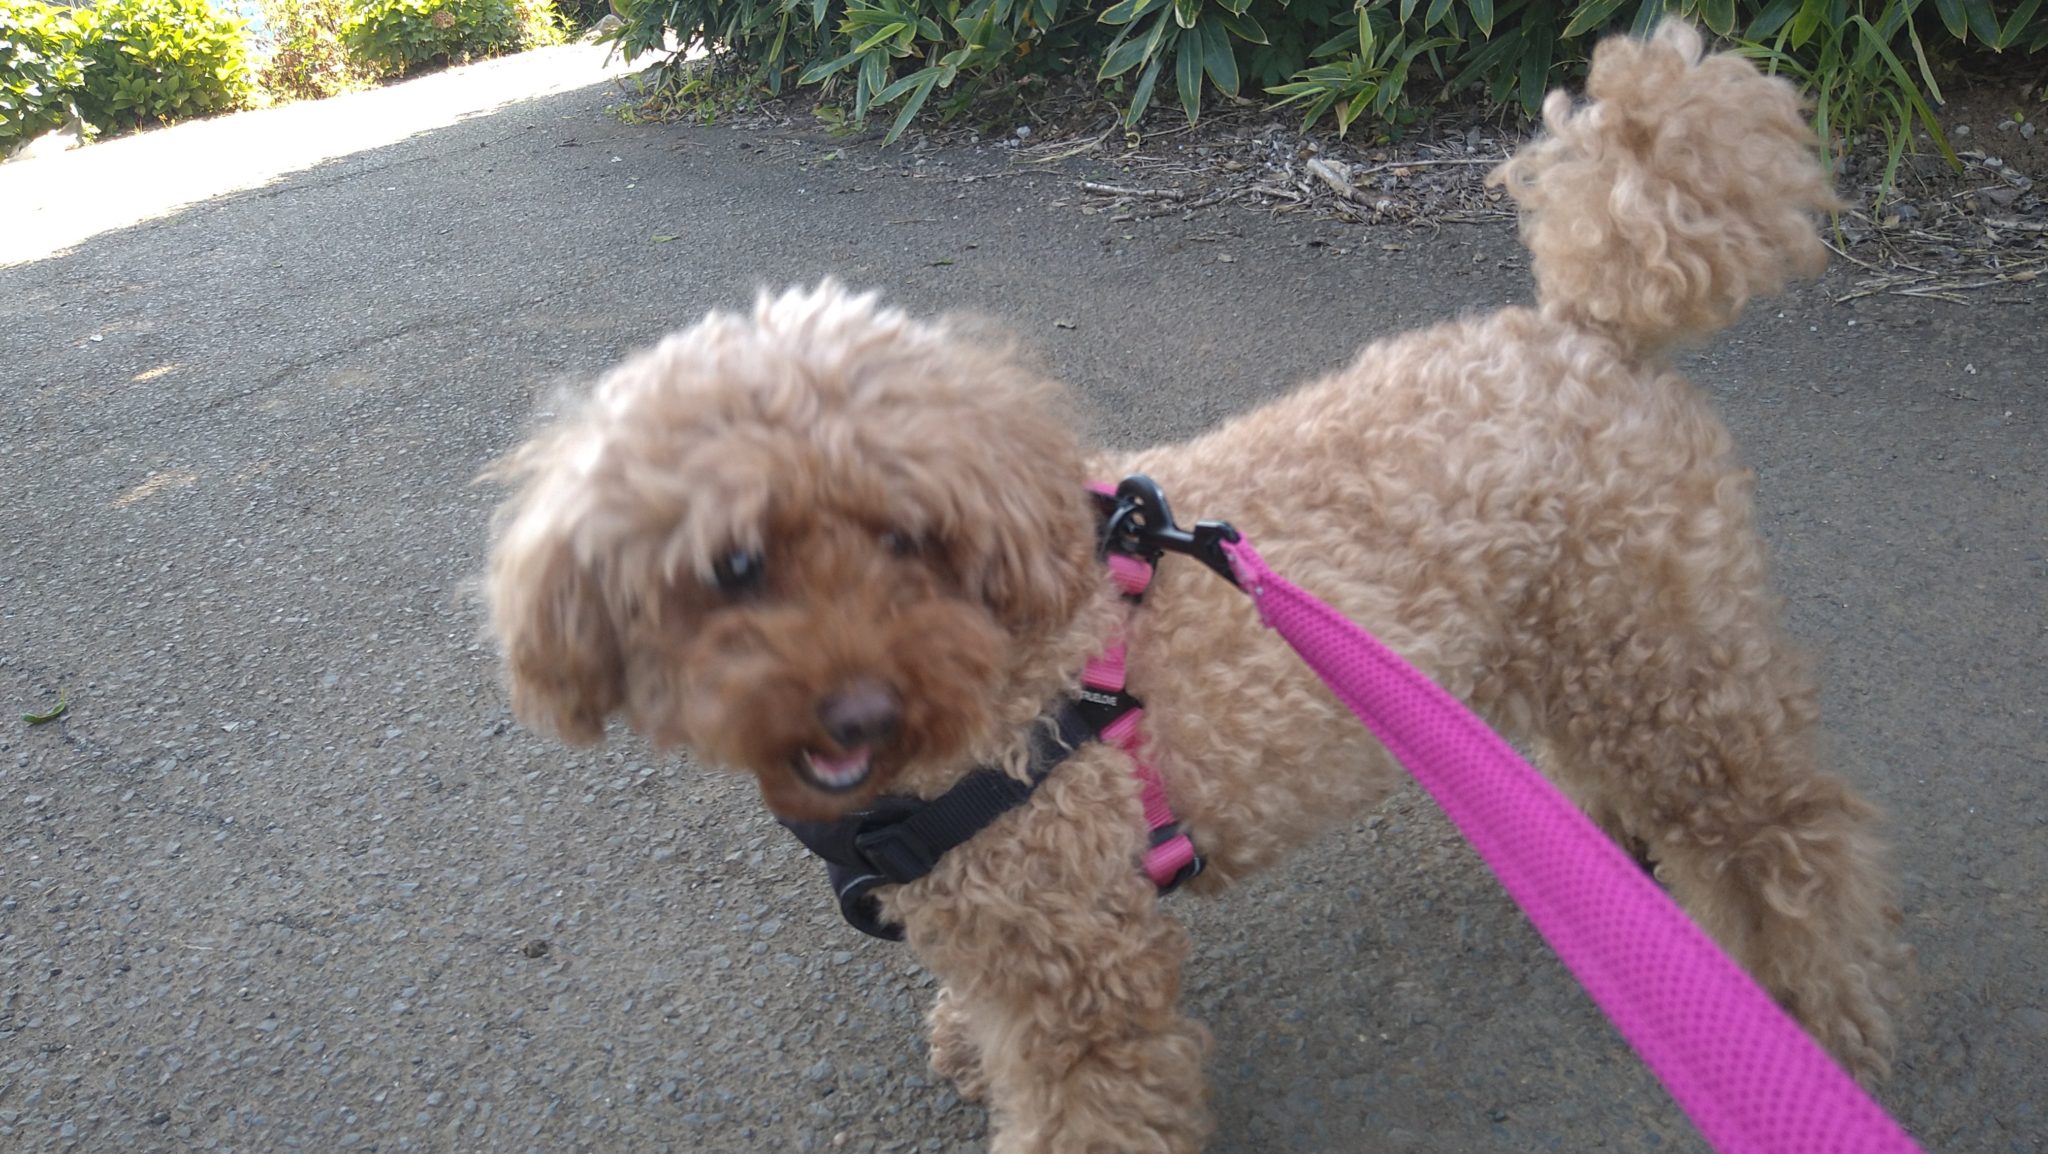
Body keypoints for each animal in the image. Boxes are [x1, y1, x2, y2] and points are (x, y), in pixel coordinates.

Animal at [483, 24, 1908, 1152]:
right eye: (731, 566)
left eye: (911, 537)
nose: (852, 703)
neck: (1003, 694)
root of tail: (1585, 329)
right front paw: (957, 1039)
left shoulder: (1080, 970)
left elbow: (1085, 1108)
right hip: (1573, 630)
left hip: (1665, 652)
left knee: (1782, 830)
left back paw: (1796, 1016)